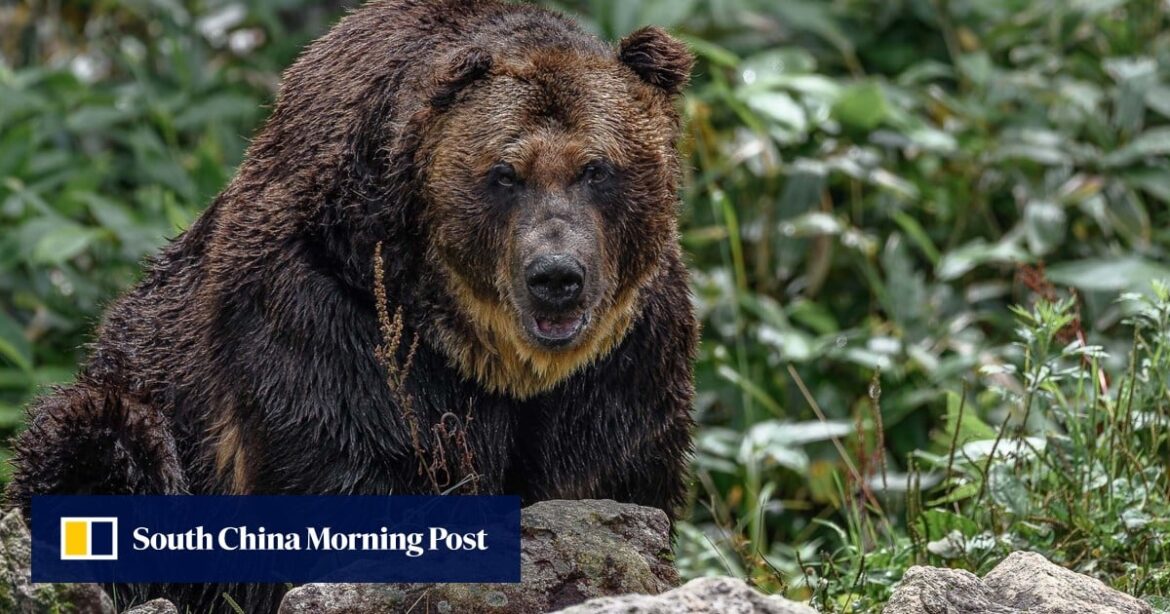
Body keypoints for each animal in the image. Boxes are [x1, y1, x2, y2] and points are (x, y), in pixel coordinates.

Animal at [6, 0, 697, 611]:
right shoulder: (326, 312)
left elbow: (605, 476)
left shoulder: (625, 353)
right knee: (107, 443)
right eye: (505, 174)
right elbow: (345, 470)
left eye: (596, 169)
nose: (556, 277)